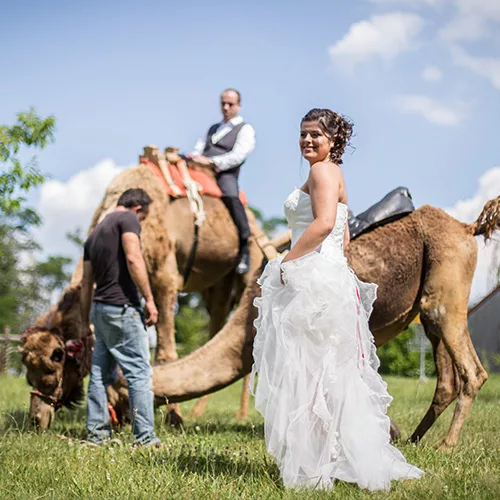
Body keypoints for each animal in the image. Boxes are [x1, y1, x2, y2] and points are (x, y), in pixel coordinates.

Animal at [20, 191, 500, 450]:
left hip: (447, 295)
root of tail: (466, 227)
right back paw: (417, 439)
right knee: (446, 378)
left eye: (55, 364)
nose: (37, 420)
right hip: (431, 307)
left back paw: (445, 445)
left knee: (472, 372)